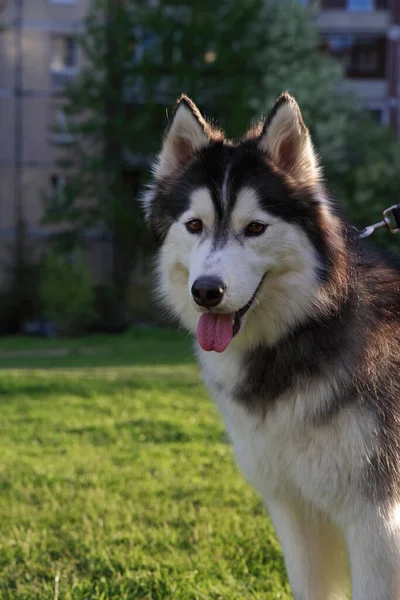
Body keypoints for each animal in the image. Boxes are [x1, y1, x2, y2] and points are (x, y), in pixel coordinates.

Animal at [143, 91, 400, 596]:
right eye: (194, 225)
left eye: (256, 228)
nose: (206, 291)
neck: (306, 330)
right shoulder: (292, 506)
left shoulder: (375, 520)